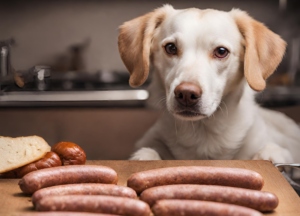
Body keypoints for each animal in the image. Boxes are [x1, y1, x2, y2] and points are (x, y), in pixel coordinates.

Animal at [117, 4, 300, 162]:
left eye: (221, 51)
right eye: (171, 48)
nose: (186, 94)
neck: (203, 133)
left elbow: (273, 151)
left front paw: (268, 156)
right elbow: (149, 152)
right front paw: (145, 157)